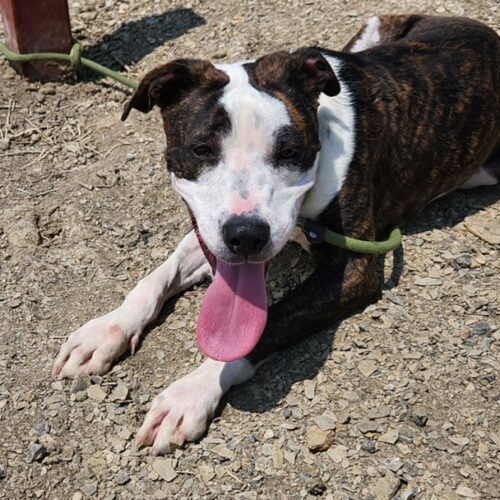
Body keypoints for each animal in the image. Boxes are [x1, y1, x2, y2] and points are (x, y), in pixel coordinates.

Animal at [51, 15, 500, 456]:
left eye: (290, 152)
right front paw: (106, 330)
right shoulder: (207, 234)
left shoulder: (354, 268)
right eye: (201, 149)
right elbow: (155, 277)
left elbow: (266, 326)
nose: (246, 235)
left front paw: (193, 391)